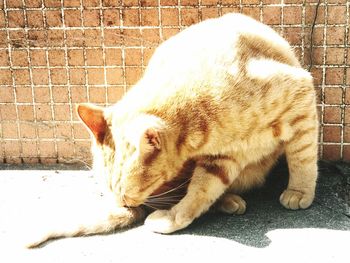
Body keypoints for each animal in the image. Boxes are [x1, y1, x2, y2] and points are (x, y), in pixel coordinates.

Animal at [27, 13, 318, 249]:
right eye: (109, 193)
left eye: (128, 196)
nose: (124, 206)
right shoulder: (220, 160)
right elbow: (199, 194)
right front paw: (174, 218)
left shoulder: (301, 99)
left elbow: (302, 159)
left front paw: (300, 191)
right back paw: (229, 201)